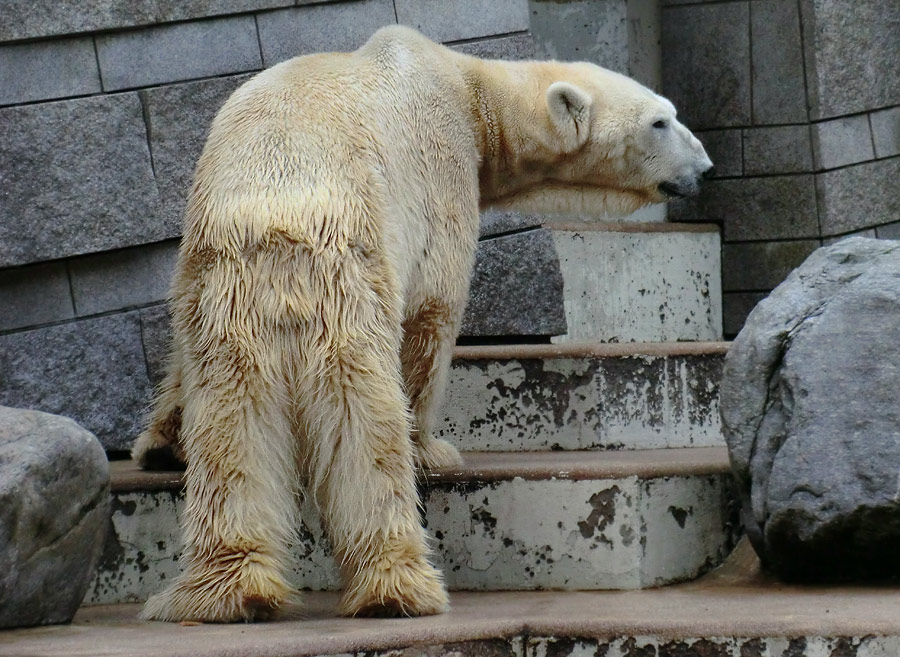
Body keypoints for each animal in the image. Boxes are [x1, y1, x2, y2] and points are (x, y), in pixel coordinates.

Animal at [132, 24, 712, 620]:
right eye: (660, 121)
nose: (705, 168)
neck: (470, 89)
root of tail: (276, 231)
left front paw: (160, 442)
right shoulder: (441, 173)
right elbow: (432, 313)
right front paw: (433, 447)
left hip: (228, 305)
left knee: (231, 434)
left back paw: (227, 590)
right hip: (346, 286)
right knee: (365, 431)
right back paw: (397, 586)